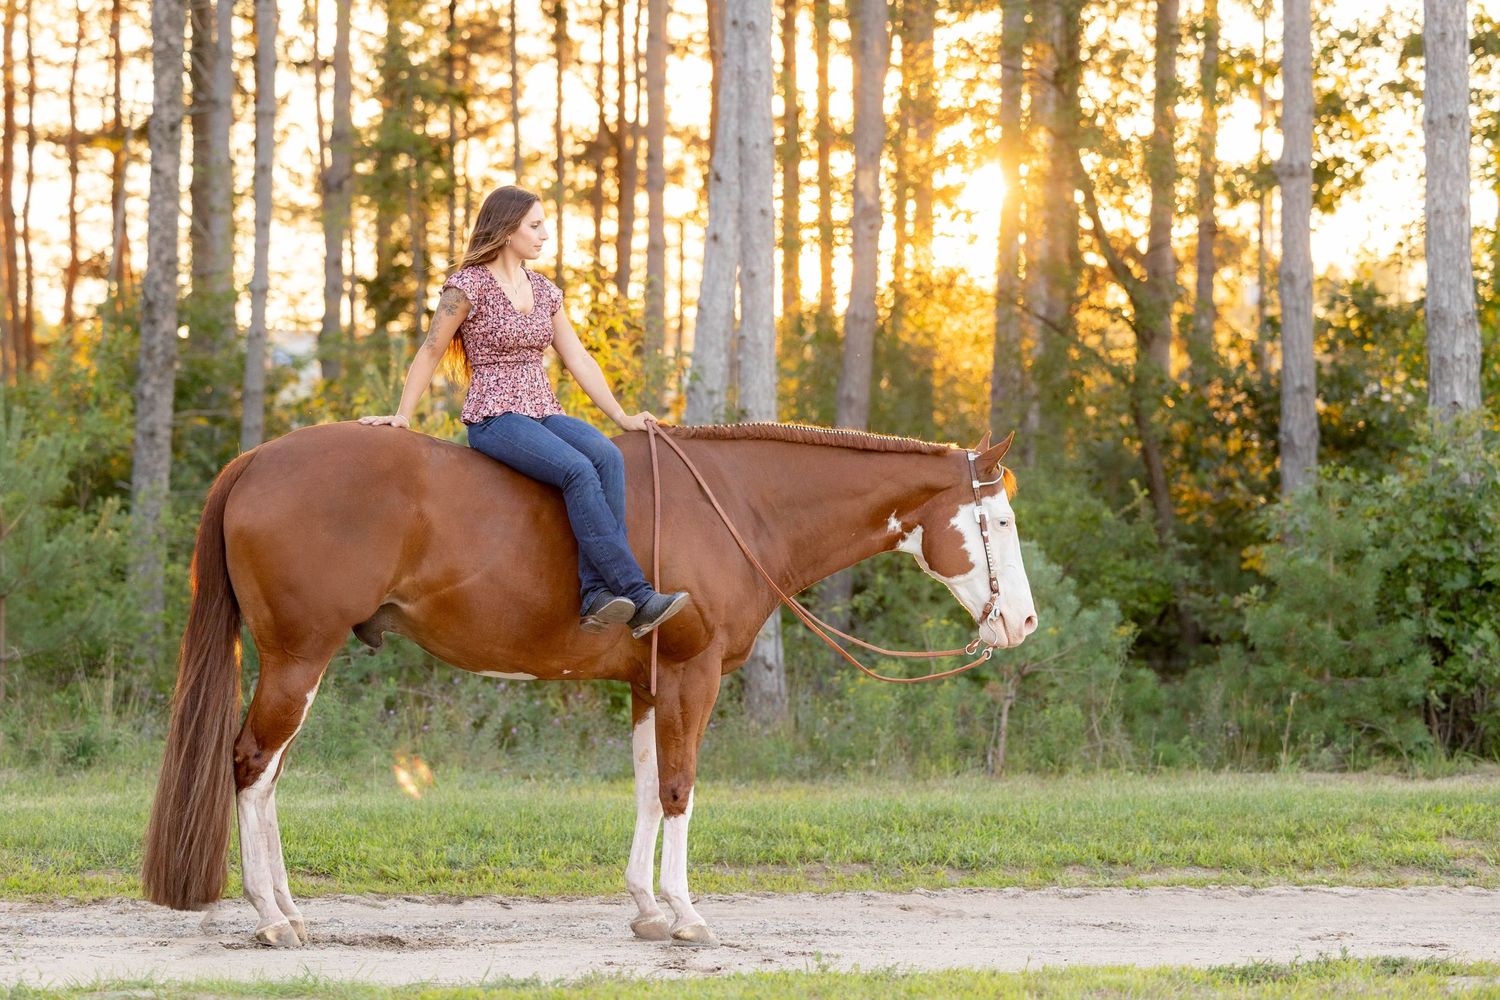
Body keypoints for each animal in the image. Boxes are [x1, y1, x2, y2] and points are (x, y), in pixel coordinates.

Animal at [141, 419, 1037, 949]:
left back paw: (288, 910)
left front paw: (646, 907)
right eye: (994, 522)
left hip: (302, 665)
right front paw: (686, 914)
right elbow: (679, 787)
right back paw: (269, 918)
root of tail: (258, 461)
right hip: (299, 659)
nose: (1022, 624)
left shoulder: (649, 683)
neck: (738, 507)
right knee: (250, 768)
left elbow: (645, 787)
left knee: (267, 778)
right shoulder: (690, 675)